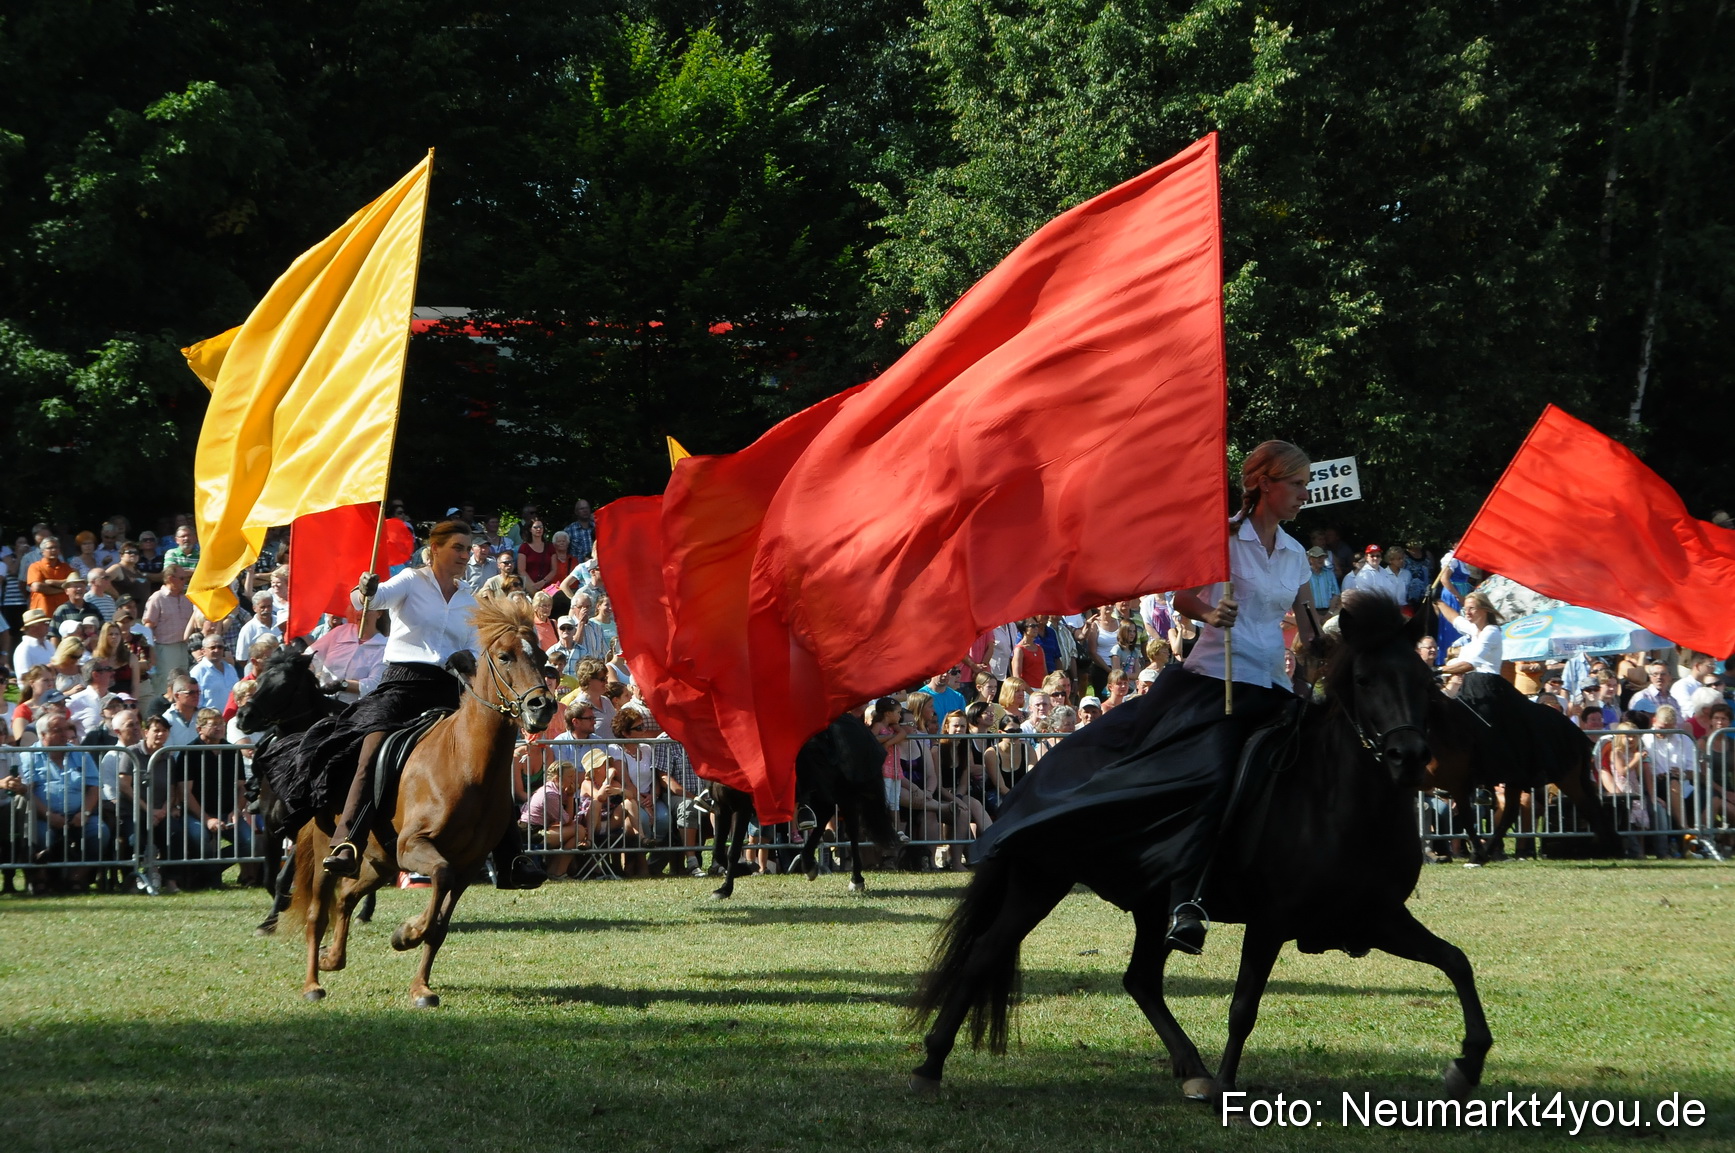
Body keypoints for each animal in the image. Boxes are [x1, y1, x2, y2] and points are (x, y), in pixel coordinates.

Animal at [284, 595, 559, 1006]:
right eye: (505, 656)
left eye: (540, 656)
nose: (542, 705)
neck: (466, 763)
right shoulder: (415, 846)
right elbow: (438, 880)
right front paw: (406, 934)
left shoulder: (467, 865)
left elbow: (440, 925)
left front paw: (421, 987)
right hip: (326, 853)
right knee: (319, 912)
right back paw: (312, 984)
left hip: (379, 861)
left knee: (347, 896)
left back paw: (334, 958)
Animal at [708, 713, 898, 899]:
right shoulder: (721, 808)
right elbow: (718, 850)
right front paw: (743, 870)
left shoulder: (743, 808)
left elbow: (732, 850)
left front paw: (725, 888)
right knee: (825, 814)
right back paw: (808, 863)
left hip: (845, 794)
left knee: (851, 831)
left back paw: (855, 879)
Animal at [909, 594, 1491, 1101]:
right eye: (1365, 680)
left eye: (1423, 680)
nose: (1408, 757)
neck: (1337, 801)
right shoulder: (1271, 920)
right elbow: (1244, 1006)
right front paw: (1229, 1090)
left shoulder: (1375, 916)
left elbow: (1457, 961)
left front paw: (1467, 1064)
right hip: (1040, 879)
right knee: (985, 954)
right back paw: (929, 1066)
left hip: (1147, 903)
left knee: (1141, 980)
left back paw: (1193, 1069)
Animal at [1425, 680, 1623, 863]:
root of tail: (1574, 731)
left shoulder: (1456, 783)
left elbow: (1466, 818)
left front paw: (1476, 853)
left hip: (1562, 778)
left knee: (1586, 805)